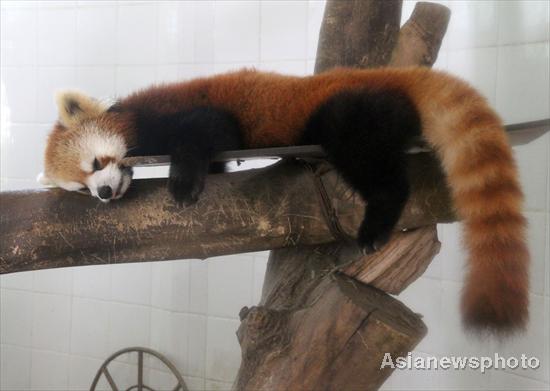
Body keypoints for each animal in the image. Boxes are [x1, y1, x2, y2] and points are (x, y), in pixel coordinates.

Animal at [38, 66, 532, 334]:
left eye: (97, 163)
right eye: (82, 188)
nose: (104, 193)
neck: (135, 114)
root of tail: (389, 75)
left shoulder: (183, 114)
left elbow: (206, 133)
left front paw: (185, 182)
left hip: (349, 114)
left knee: (376, 168)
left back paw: (378, 220)